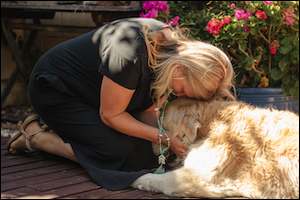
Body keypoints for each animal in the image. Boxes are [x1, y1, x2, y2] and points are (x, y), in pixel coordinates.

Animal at [132, 97, 298, 198]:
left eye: (161, 126)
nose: (151, 145)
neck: (210, 122)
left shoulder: (198, 175)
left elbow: (152, 177)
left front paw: (135, 181)